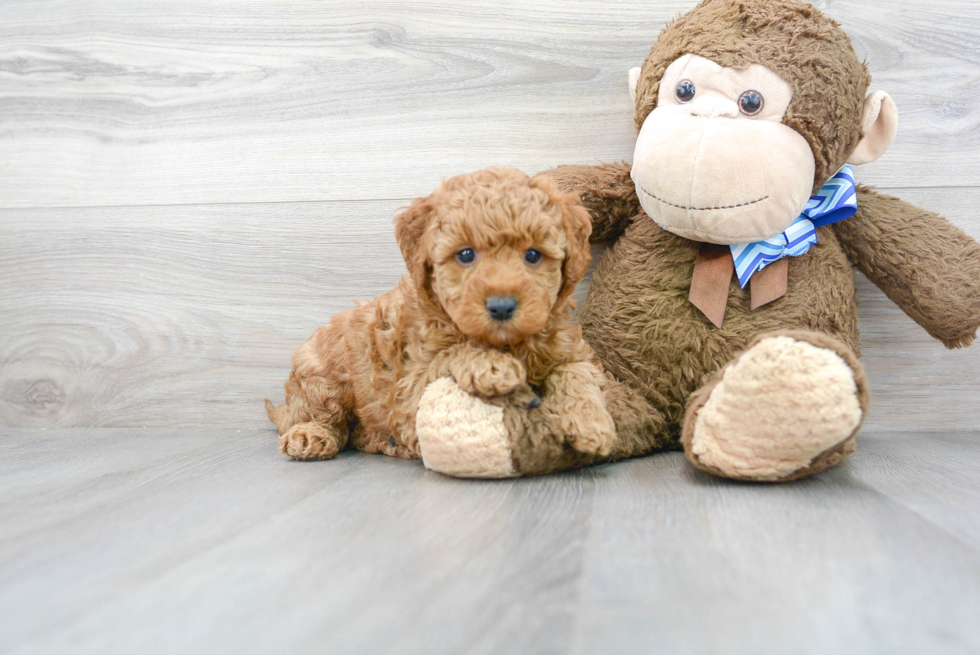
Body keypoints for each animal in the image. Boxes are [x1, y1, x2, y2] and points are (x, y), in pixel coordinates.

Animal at [266, 170, 620, 466]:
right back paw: (310, 435)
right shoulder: (408, 390)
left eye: (533, 255)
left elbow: (577, 373)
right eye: (465, 254)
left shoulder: (569, 348)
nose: (502, 306)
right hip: (324, 377)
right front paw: (491, 364)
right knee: (320, 418)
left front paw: (593, 423)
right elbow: (449, 355)